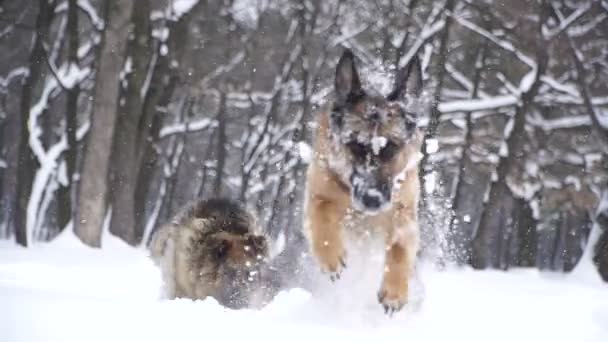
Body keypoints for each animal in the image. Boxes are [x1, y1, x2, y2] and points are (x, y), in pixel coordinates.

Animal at [302, 49, 422, 314]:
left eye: (391, 149)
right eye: (356, 146)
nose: (372, 200)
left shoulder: (404, 212)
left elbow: (400, 247)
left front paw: (395, 292)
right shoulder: (319, 191)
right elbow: (322, 215)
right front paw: (331, 256)